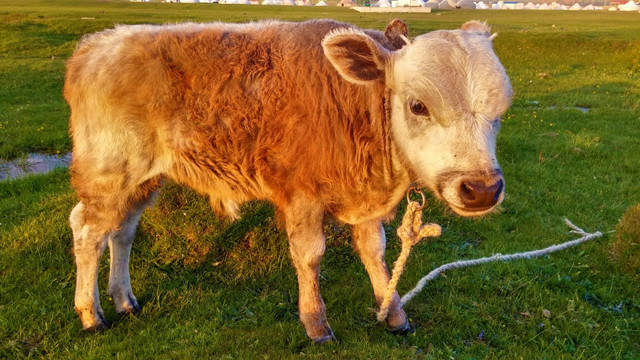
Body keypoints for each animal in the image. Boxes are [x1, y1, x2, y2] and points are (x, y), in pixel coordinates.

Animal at [65, 17, 512, 344]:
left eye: (502, 108)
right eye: (418, 105)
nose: (481, 189)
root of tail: (98, 43)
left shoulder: (366, 199)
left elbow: (375, 252)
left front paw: (394, 311)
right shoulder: (301, 195)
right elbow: (310, 256)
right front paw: (315, 323)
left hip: (140, 180)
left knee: (122, 231)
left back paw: (123, 299)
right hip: (108, 173)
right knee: (87, 232)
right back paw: (90, 314)